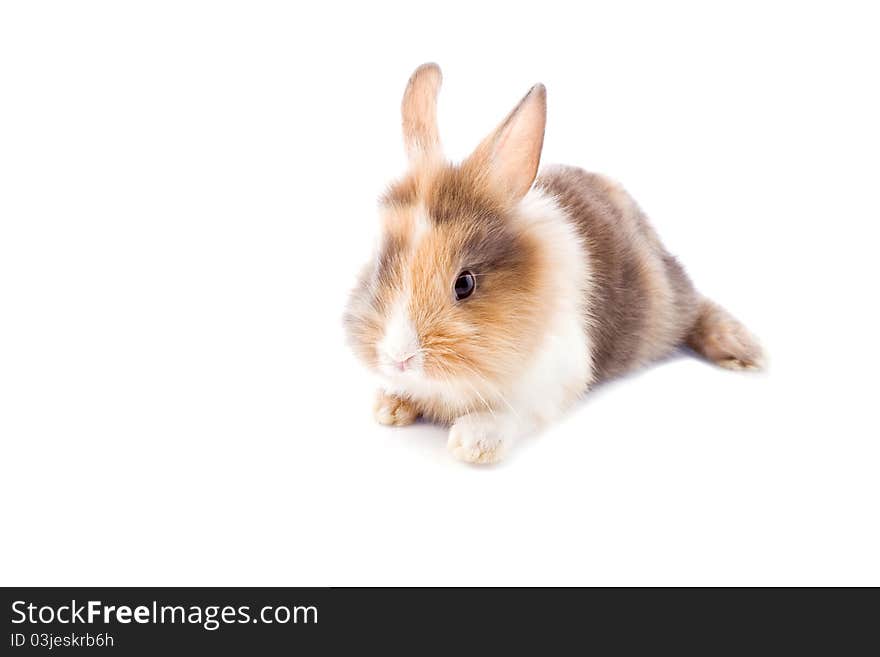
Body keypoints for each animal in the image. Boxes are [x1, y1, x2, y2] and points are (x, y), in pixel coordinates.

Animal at [344, 61, 764, 462]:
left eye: (465, 284)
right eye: (379, 267)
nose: (399, 359)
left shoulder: (551, 380)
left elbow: (510, 412)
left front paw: (472, 444)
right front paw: (389, 407)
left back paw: (743, 352)